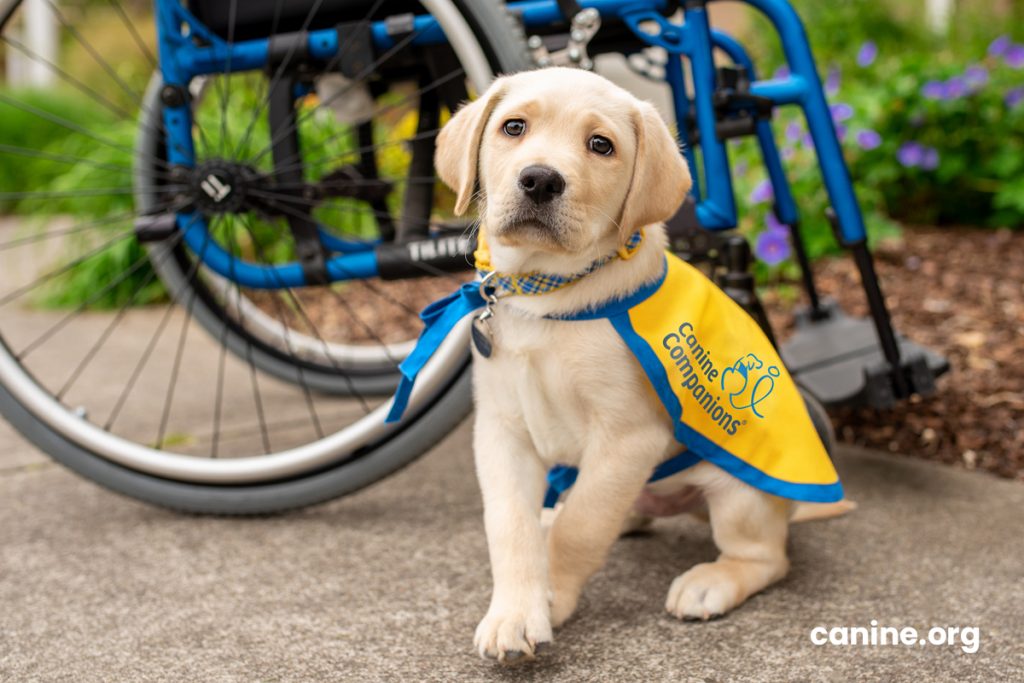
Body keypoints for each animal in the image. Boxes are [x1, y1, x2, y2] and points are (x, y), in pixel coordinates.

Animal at [434, 68, 839, 663]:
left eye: (601, 145)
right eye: (513, 127)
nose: (540, 180)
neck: (546, 293)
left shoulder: (628, 436)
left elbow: (582, 528)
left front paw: (551, 598)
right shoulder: (501, 428)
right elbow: (509, 525)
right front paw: (514, 611)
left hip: (740, 491)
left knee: (766, 556)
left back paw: (710, 581)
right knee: (612, 509)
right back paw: (557, 516)